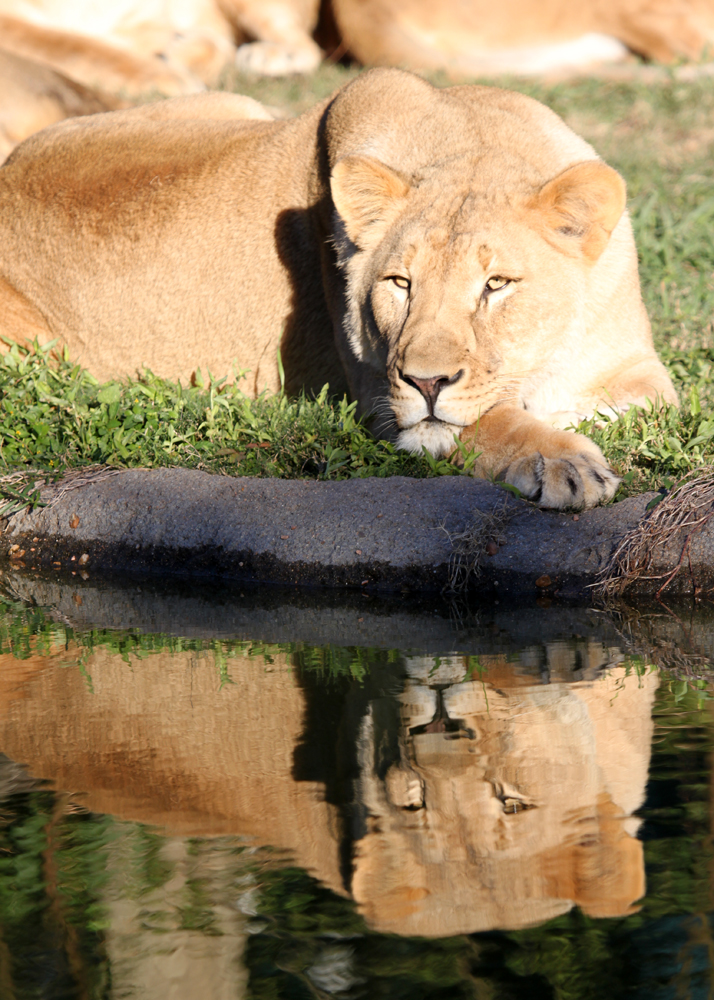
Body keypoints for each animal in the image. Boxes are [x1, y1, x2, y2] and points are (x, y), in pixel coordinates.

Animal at [0, 70, 676, 508]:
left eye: (496, 285)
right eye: (400, 283)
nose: (426, 382)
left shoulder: (638, 368)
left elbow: (632, 401)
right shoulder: (374, 390)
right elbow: (485, 420)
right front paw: (560, 460)